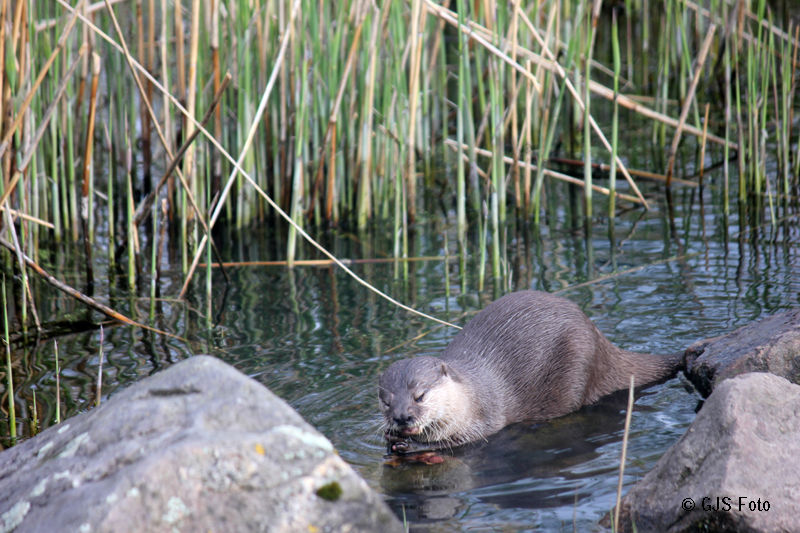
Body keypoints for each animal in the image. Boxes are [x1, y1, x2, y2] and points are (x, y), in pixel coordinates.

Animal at [378, 291, 683, 454]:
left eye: (420, 396)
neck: (468, 396)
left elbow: (459, 442)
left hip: (579, 362)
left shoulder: (483, 417)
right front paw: (391, 437)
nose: (402, 417)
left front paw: (413, 446)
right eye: (386, 402)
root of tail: (600, 339)